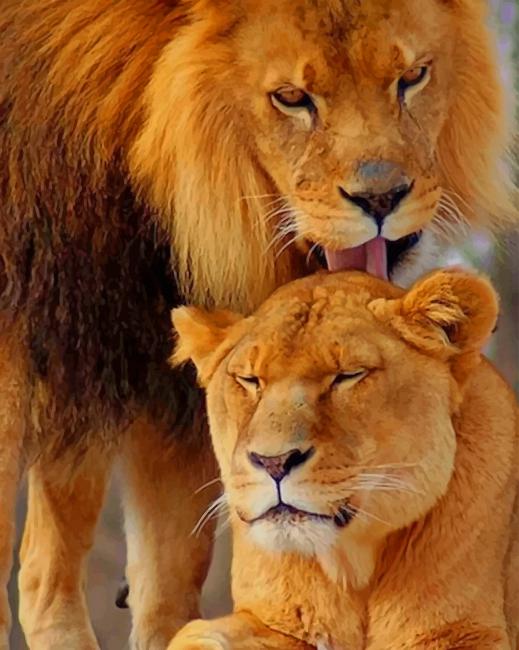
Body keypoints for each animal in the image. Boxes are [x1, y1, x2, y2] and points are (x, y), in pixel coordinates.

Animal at [170, 269, 519, 650]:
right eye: (249, 380)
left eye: (349, 375)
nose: (274, 462)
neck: (352, 568)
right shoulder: (275, 621)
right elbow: (194, 633)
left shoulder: (461, 632)